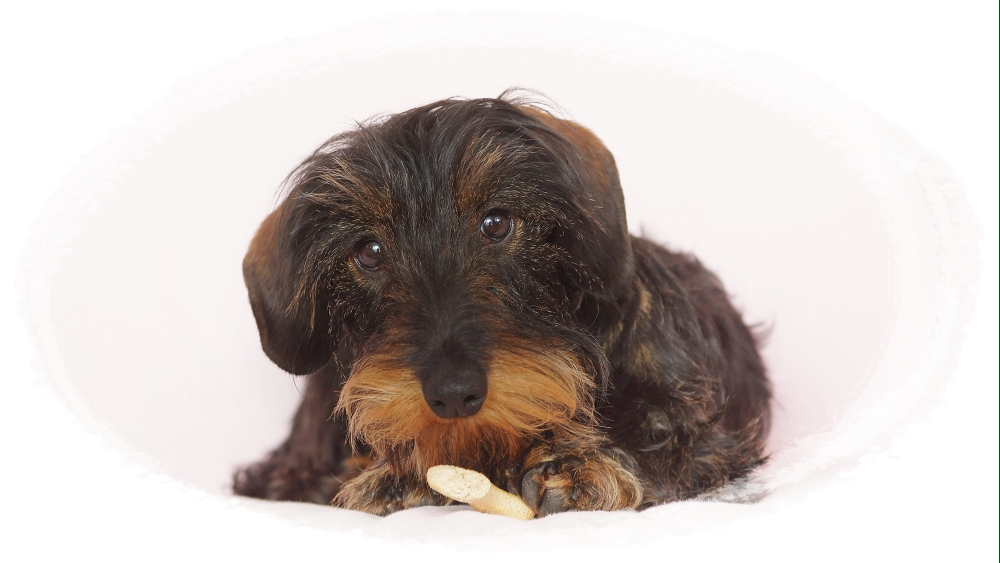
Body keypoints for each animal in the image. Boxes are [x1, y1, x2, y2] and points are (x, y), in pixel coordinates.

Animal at [233, 92, 771, 516]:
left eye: (496, 223)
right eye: (369, 252)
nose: (454, 393)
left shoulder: (709, 431)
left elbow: (671, 441)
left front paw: (584, 465)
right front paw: (399, 475)